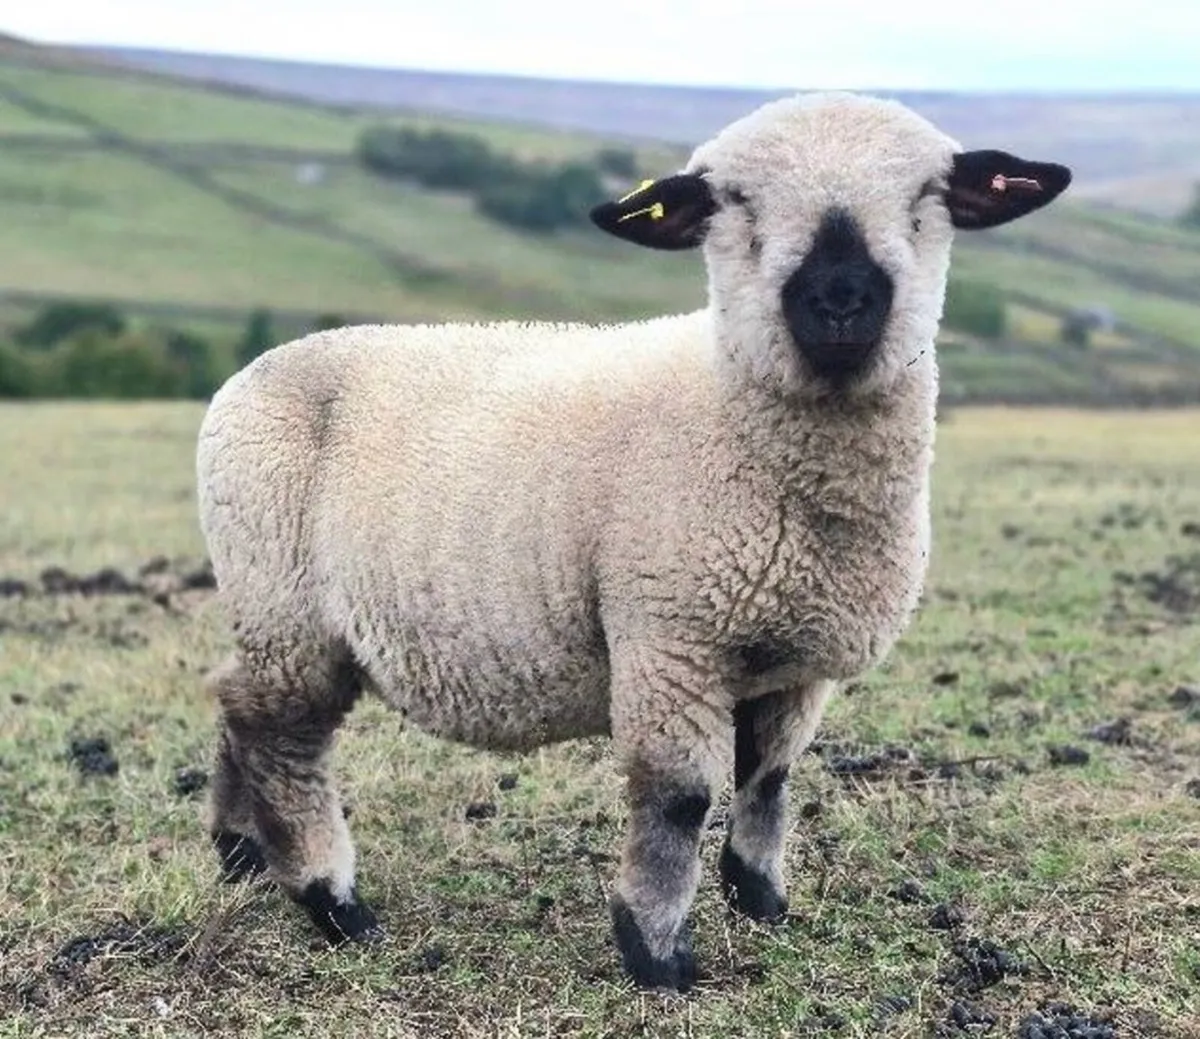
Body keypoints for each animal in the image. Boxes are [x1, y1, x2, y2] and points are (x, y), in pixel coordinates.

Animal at [195, 90, 1071, 992]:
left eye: (929, 195)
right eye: (734, 201)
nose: (839, 296)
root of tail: (245, 378)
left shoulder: (794, 658)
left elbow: (770, 776)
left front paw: (760, 898)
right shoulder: (668, 637)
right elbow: (679, 799)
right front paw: (657, 953)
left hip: (269, 605)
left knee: (235, 700)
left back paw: (240, 852)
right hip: (287, 599)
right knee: (283, 739)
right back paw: (332, 900)